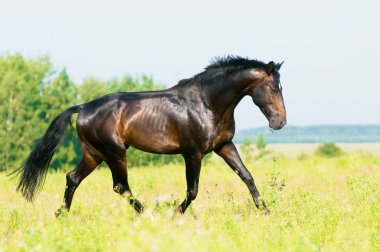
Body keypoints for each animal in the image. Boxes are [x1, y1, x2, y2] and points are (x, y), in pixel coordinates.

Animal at [16, 56, 286, 216]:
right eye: (273, 88)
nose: (280, 122)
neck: (206, 103)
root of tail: (83, 107)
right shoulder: (192, 154)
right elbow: (192, 190)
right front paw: (175, 215)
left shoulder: (225, 146)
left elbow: (247, 177)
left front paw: (266, 212)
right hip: (115, 153)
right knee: (120, 186)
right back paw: (147, 214)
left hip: (94, 154)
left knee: (73, 178)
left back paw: (61, 215)